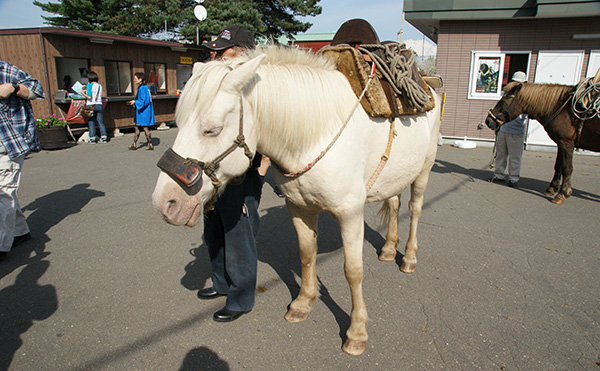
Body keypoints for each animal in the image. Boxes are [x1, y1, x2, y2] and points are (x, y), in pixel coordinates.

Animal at [152, 48, 442, 356]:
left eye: (212, 130)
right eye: (180, 123)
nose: (166, 202)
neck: (314, 133)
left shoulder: (350, 213)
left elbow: (353, 271)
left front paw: (357, 332)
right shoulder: (299, 208)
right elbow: (306, 255)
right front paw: (303, 302)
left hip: (424, 171)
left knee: (414, 210)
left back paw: (408, 257)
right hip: (395, 175)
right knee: (396, 203)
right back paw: (388, 249)